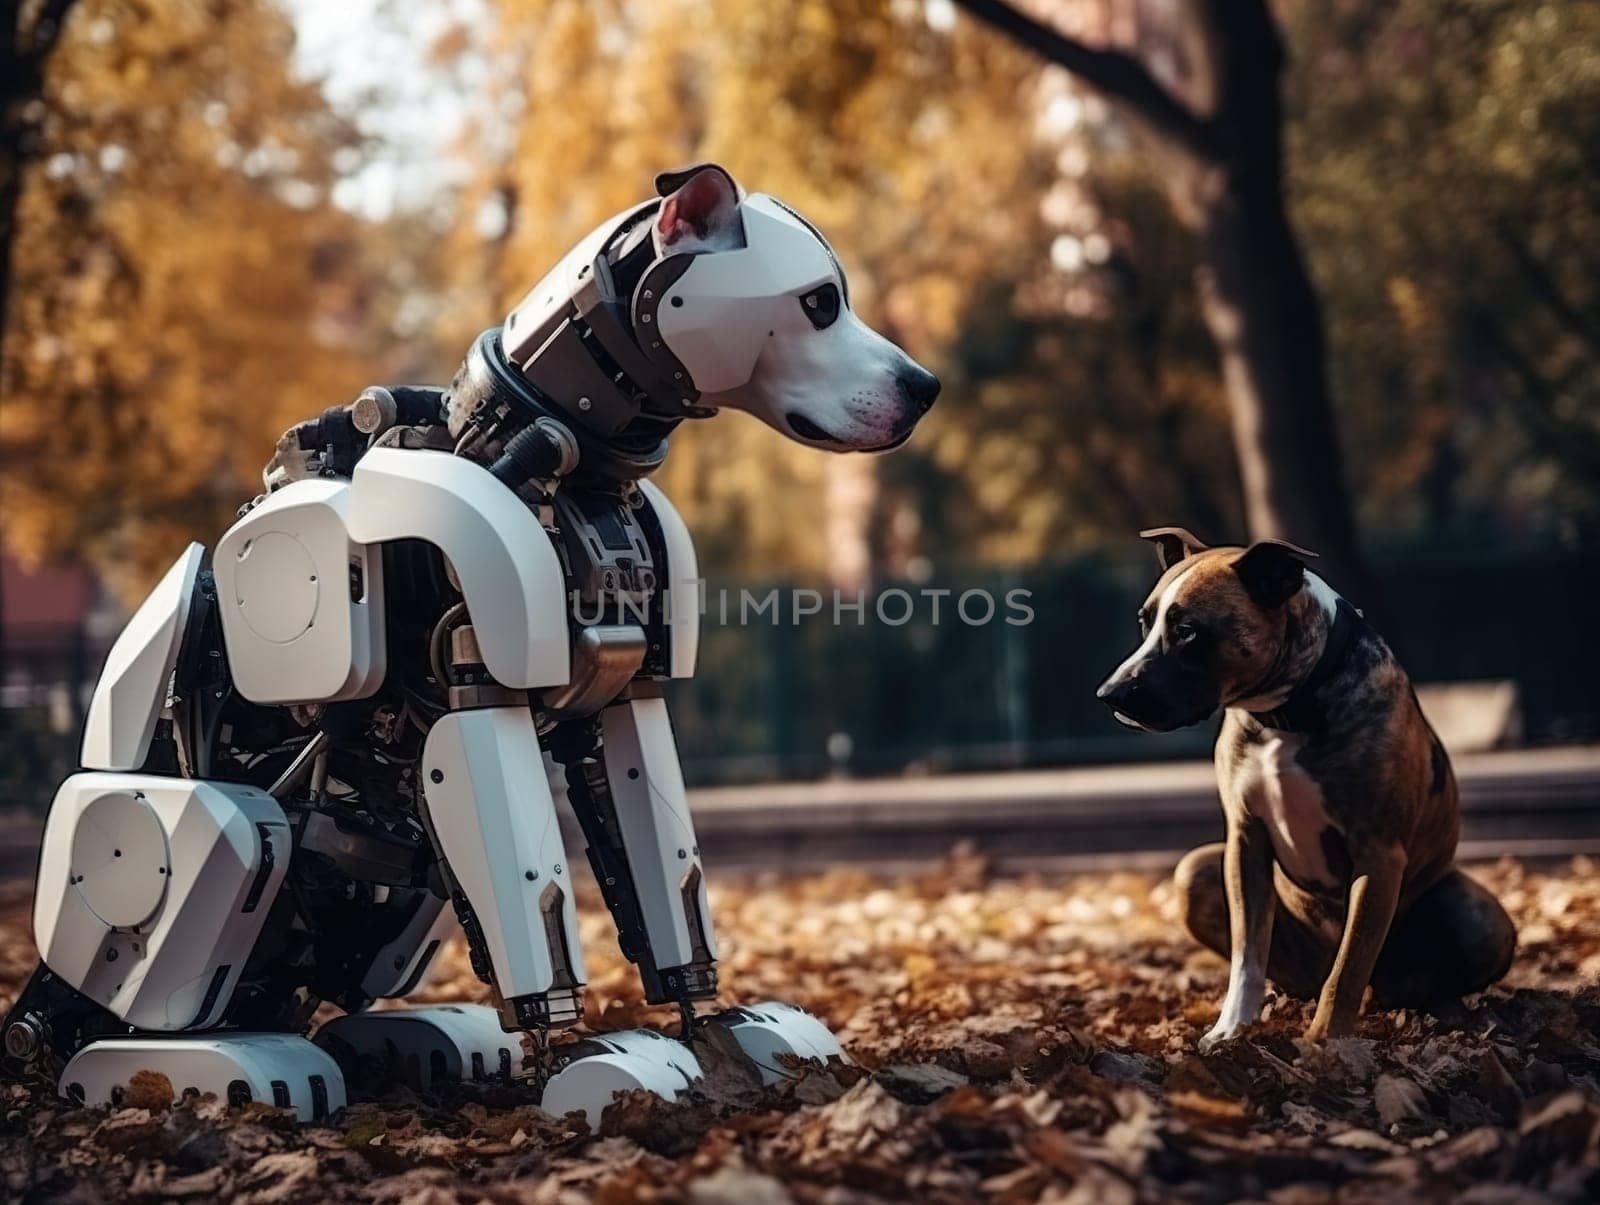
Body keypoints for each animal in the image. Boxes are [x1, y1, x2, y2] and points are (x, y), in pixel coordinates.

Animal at [0, 164, 934, 1126]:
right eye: (820, 301)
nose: (925, 387)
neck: (550, 446)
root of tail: (32, 1019)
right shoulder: (478, 682)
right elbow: (535, 905)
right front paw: (583, 1058)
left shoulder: (628, 694)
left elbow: (666, 896)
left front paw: (721, 1033)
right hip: (235, 826)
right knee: (155, 969)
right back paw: (213, 1064)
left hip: (405, 898)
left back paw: (426, 1043)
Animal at [1094, 524, 1516, 1043]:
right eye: (1144, 622)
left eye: (1188, 630)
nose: (1109, 693)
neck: (1287, 711)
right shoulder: (1246, 841)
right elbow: (1247, 954)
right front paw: (1231, 1029)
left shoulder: (1378, 855)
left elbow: (1349, 966)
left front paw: (1324, 1042)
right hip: (1197, 872)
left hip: (1479, 919)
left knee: (1412, 971)